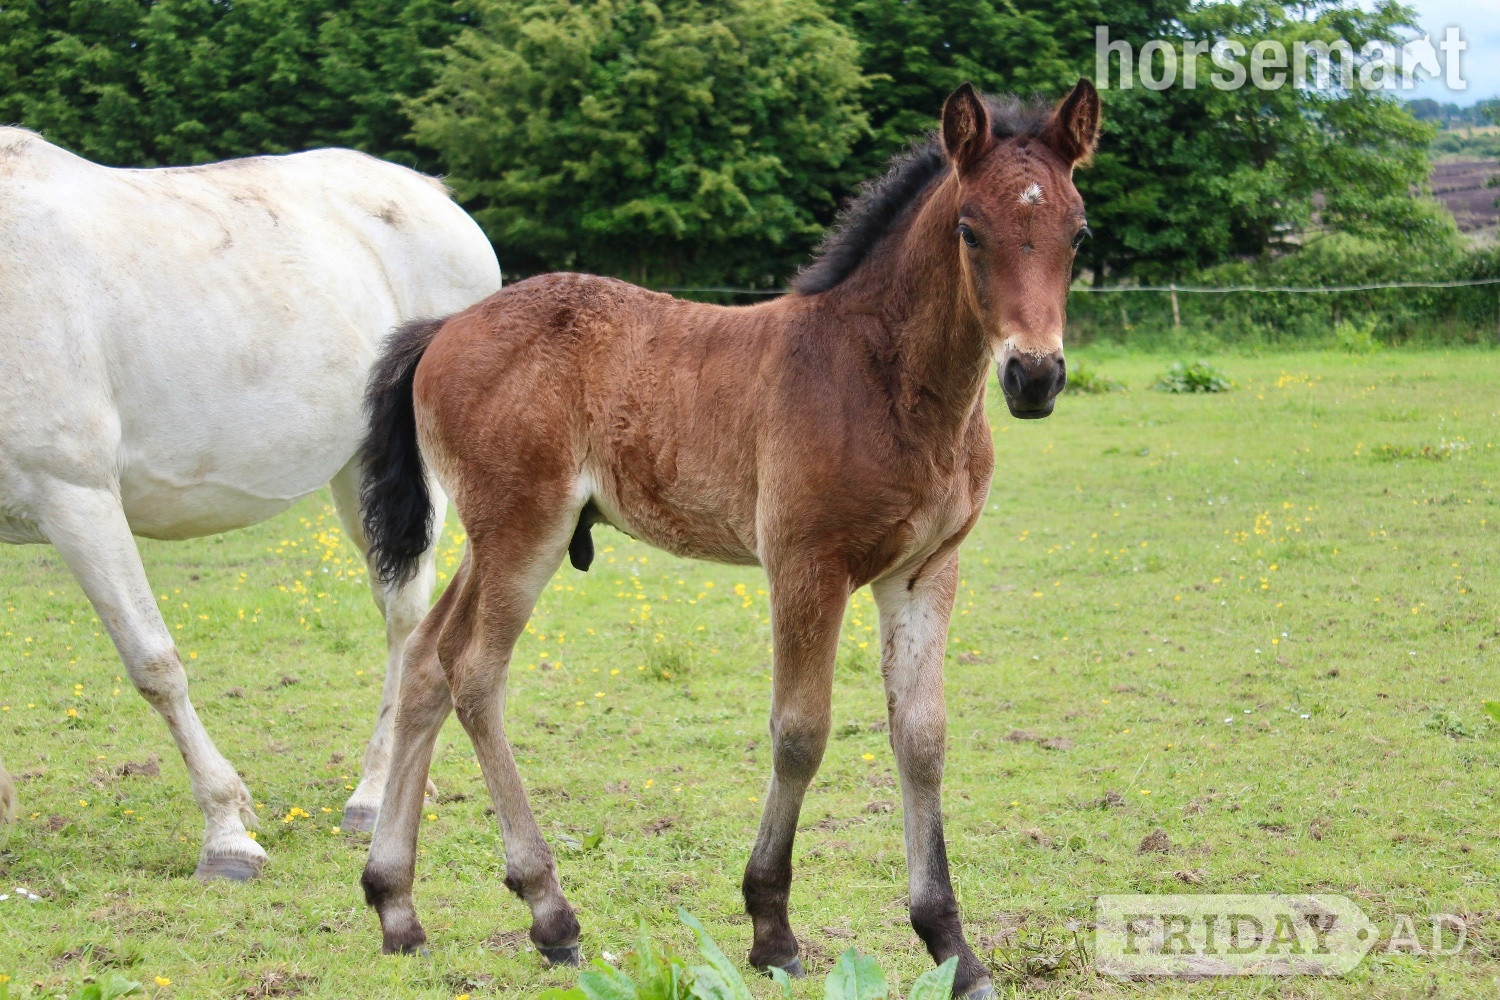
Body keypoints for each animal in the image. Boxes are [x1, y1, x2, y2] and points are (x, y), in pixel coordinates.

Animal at [0, 128, 501, 879]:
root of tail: (429, 195)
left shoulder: (75, 498)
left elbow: (154, 664)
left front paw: (227, 835)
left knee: (405, 615)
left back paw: (372, 796)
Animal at [357, 81, 1099, 996]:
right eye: (970, 228)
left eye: (1078, 232)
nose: (1035, 376)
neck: (882, 376)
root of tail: (445, 328)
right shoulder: (806, 564)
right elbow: (801, 732)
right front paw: (772, 929)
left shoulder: (927, 571)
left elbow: (922, 738)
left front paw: (952, 946)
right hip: (522, 531)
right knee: (475, 673)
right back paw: (550, 912)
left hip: (494, 536)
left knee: (427, 660)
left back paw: (396, 905)